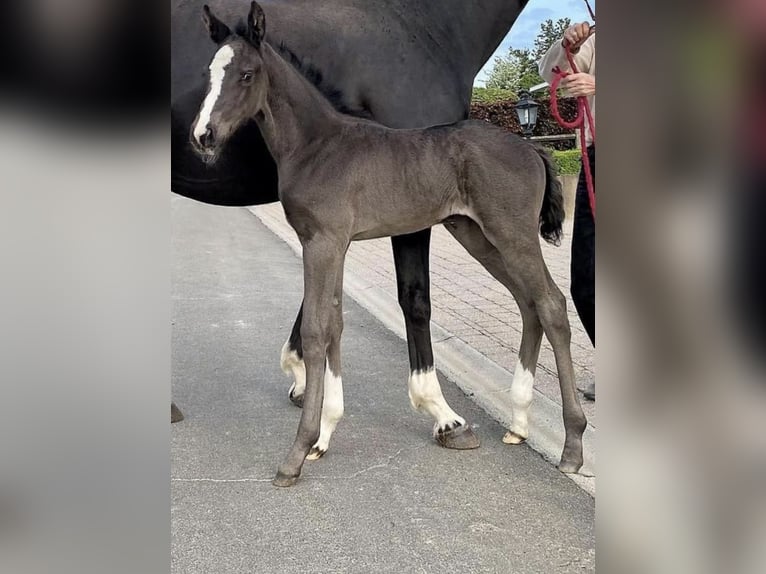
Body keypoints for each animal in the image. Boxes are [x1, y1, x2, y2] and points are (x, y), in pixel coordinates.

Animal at [194, 3, 588, 490]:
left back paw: (572, 446)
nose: (203, 135)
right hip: (476, 233)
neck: (316, 146)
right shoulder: (332, 243)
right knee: (528, 302)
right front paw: (324, 436)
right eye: (209, 74)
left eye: (247, 74)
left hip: (511, 232)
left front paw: (298, 452)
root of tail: (533, 150)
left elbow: (316, 330)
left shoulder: (323, 242)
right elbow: (334, 323)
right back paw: (518, 423)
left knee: (551, 303)